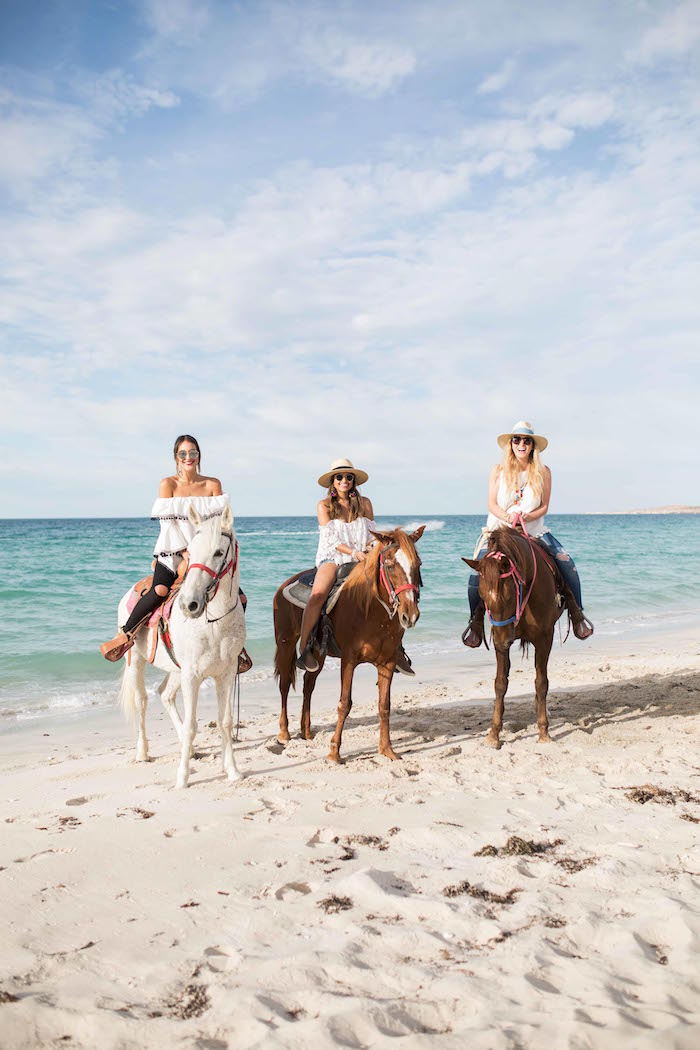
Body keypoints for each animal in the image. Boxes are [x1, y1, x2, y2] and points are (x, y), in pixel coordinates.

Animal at [117, 501, 243, 789]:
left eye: (218, 552)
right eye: (190, 551)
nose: (189, 605)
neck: (214, 622)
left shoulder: (226, 673)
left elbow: (225, 721)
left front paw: (232, 770)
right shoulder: (192, 675)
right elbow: (191, 725)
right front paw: (182, 778)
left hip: (176, 669)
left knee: (165, 694)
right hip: (137, 662)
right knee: (142, 701)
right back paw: (143, 752)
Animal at [272, 525, 428, 764]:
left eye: (417, 564)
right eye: (390, 565)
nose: (409, 615)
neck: (370, 610)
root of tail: (283, 586)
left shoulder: (388, 662)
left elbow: (384, 705)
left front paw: (387, 750)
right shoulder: (349, 660)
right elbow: (344, 704)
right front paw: (334, 753)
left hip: (317, 654)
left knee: (308, 684)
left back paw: (306, 731)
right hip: (285, 642)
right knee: (284, 684)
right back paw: (284, 733)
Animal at [461, 522, 566, 747]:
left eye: (509, 595)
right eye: (481, 596)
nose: (503, 641)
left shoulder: (545, 639)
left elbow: (541, 682)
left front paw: (544, 731)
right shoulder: (500, 641)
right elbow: (500, 684)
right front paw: (493, 734)